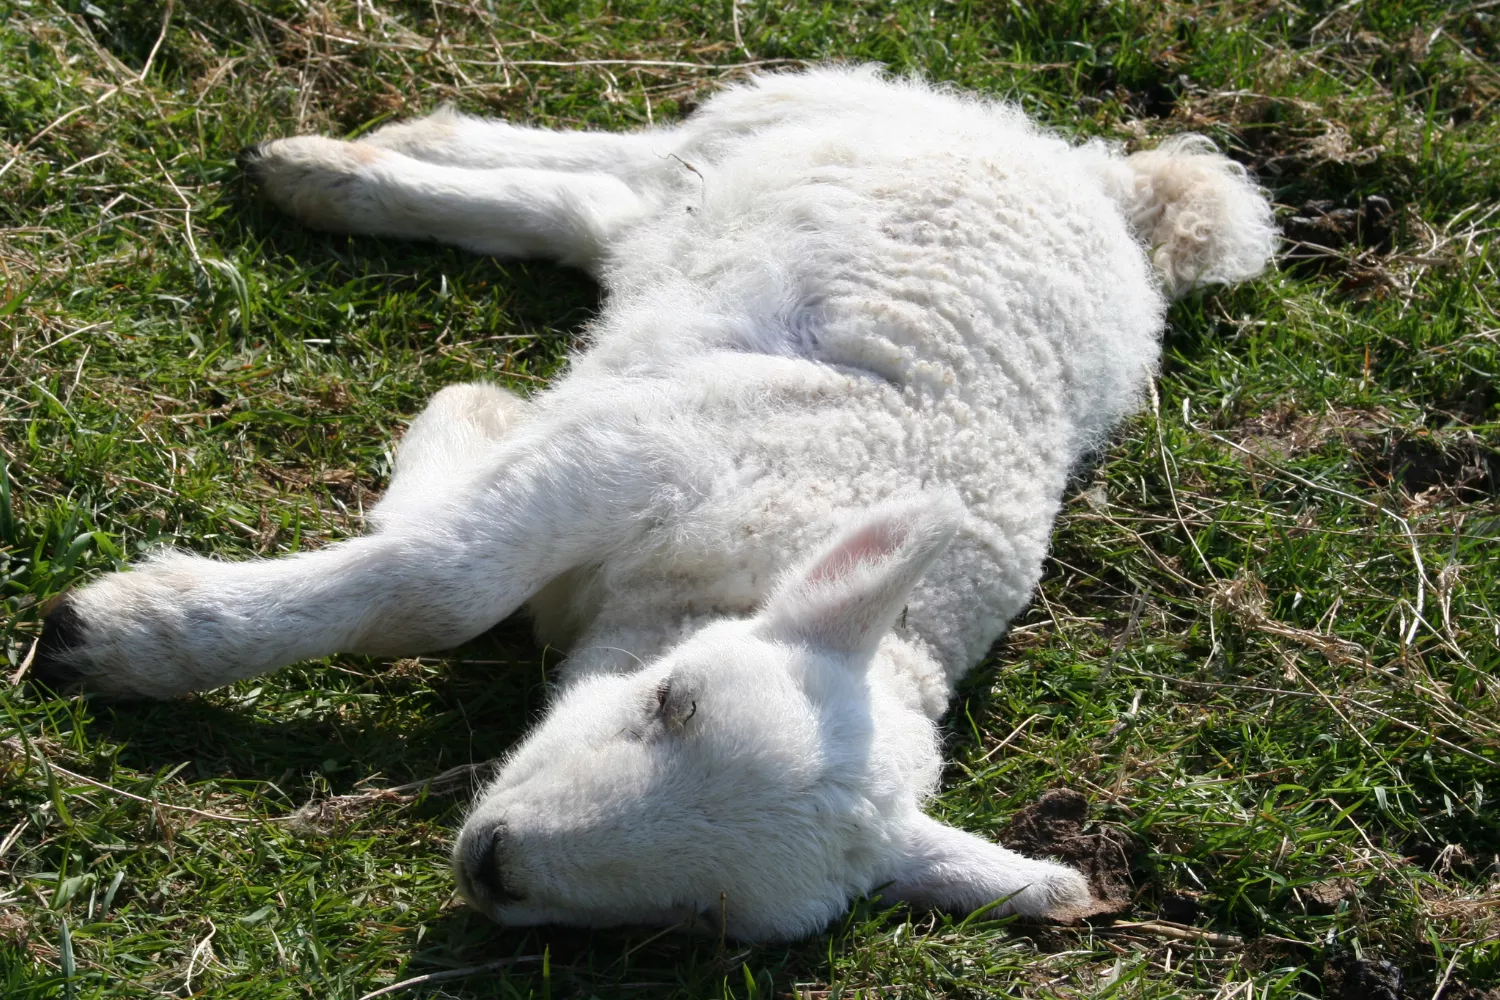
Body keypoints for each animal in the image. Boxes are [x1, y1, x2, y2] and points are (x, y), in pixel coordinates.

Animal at [33, 66, 1277, 943]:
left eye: (697, 921)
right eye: (671, 704)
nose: (493, 864)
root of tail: (1108, 186)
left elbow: (442, 551)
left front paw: (459, 421)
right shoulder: (640, 448)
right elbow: (439, 586)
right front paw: (123, 635)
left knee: (587, 206)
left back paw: (378, 163)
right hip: (784, 118)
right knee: (622, 162)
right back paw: (341, 162)